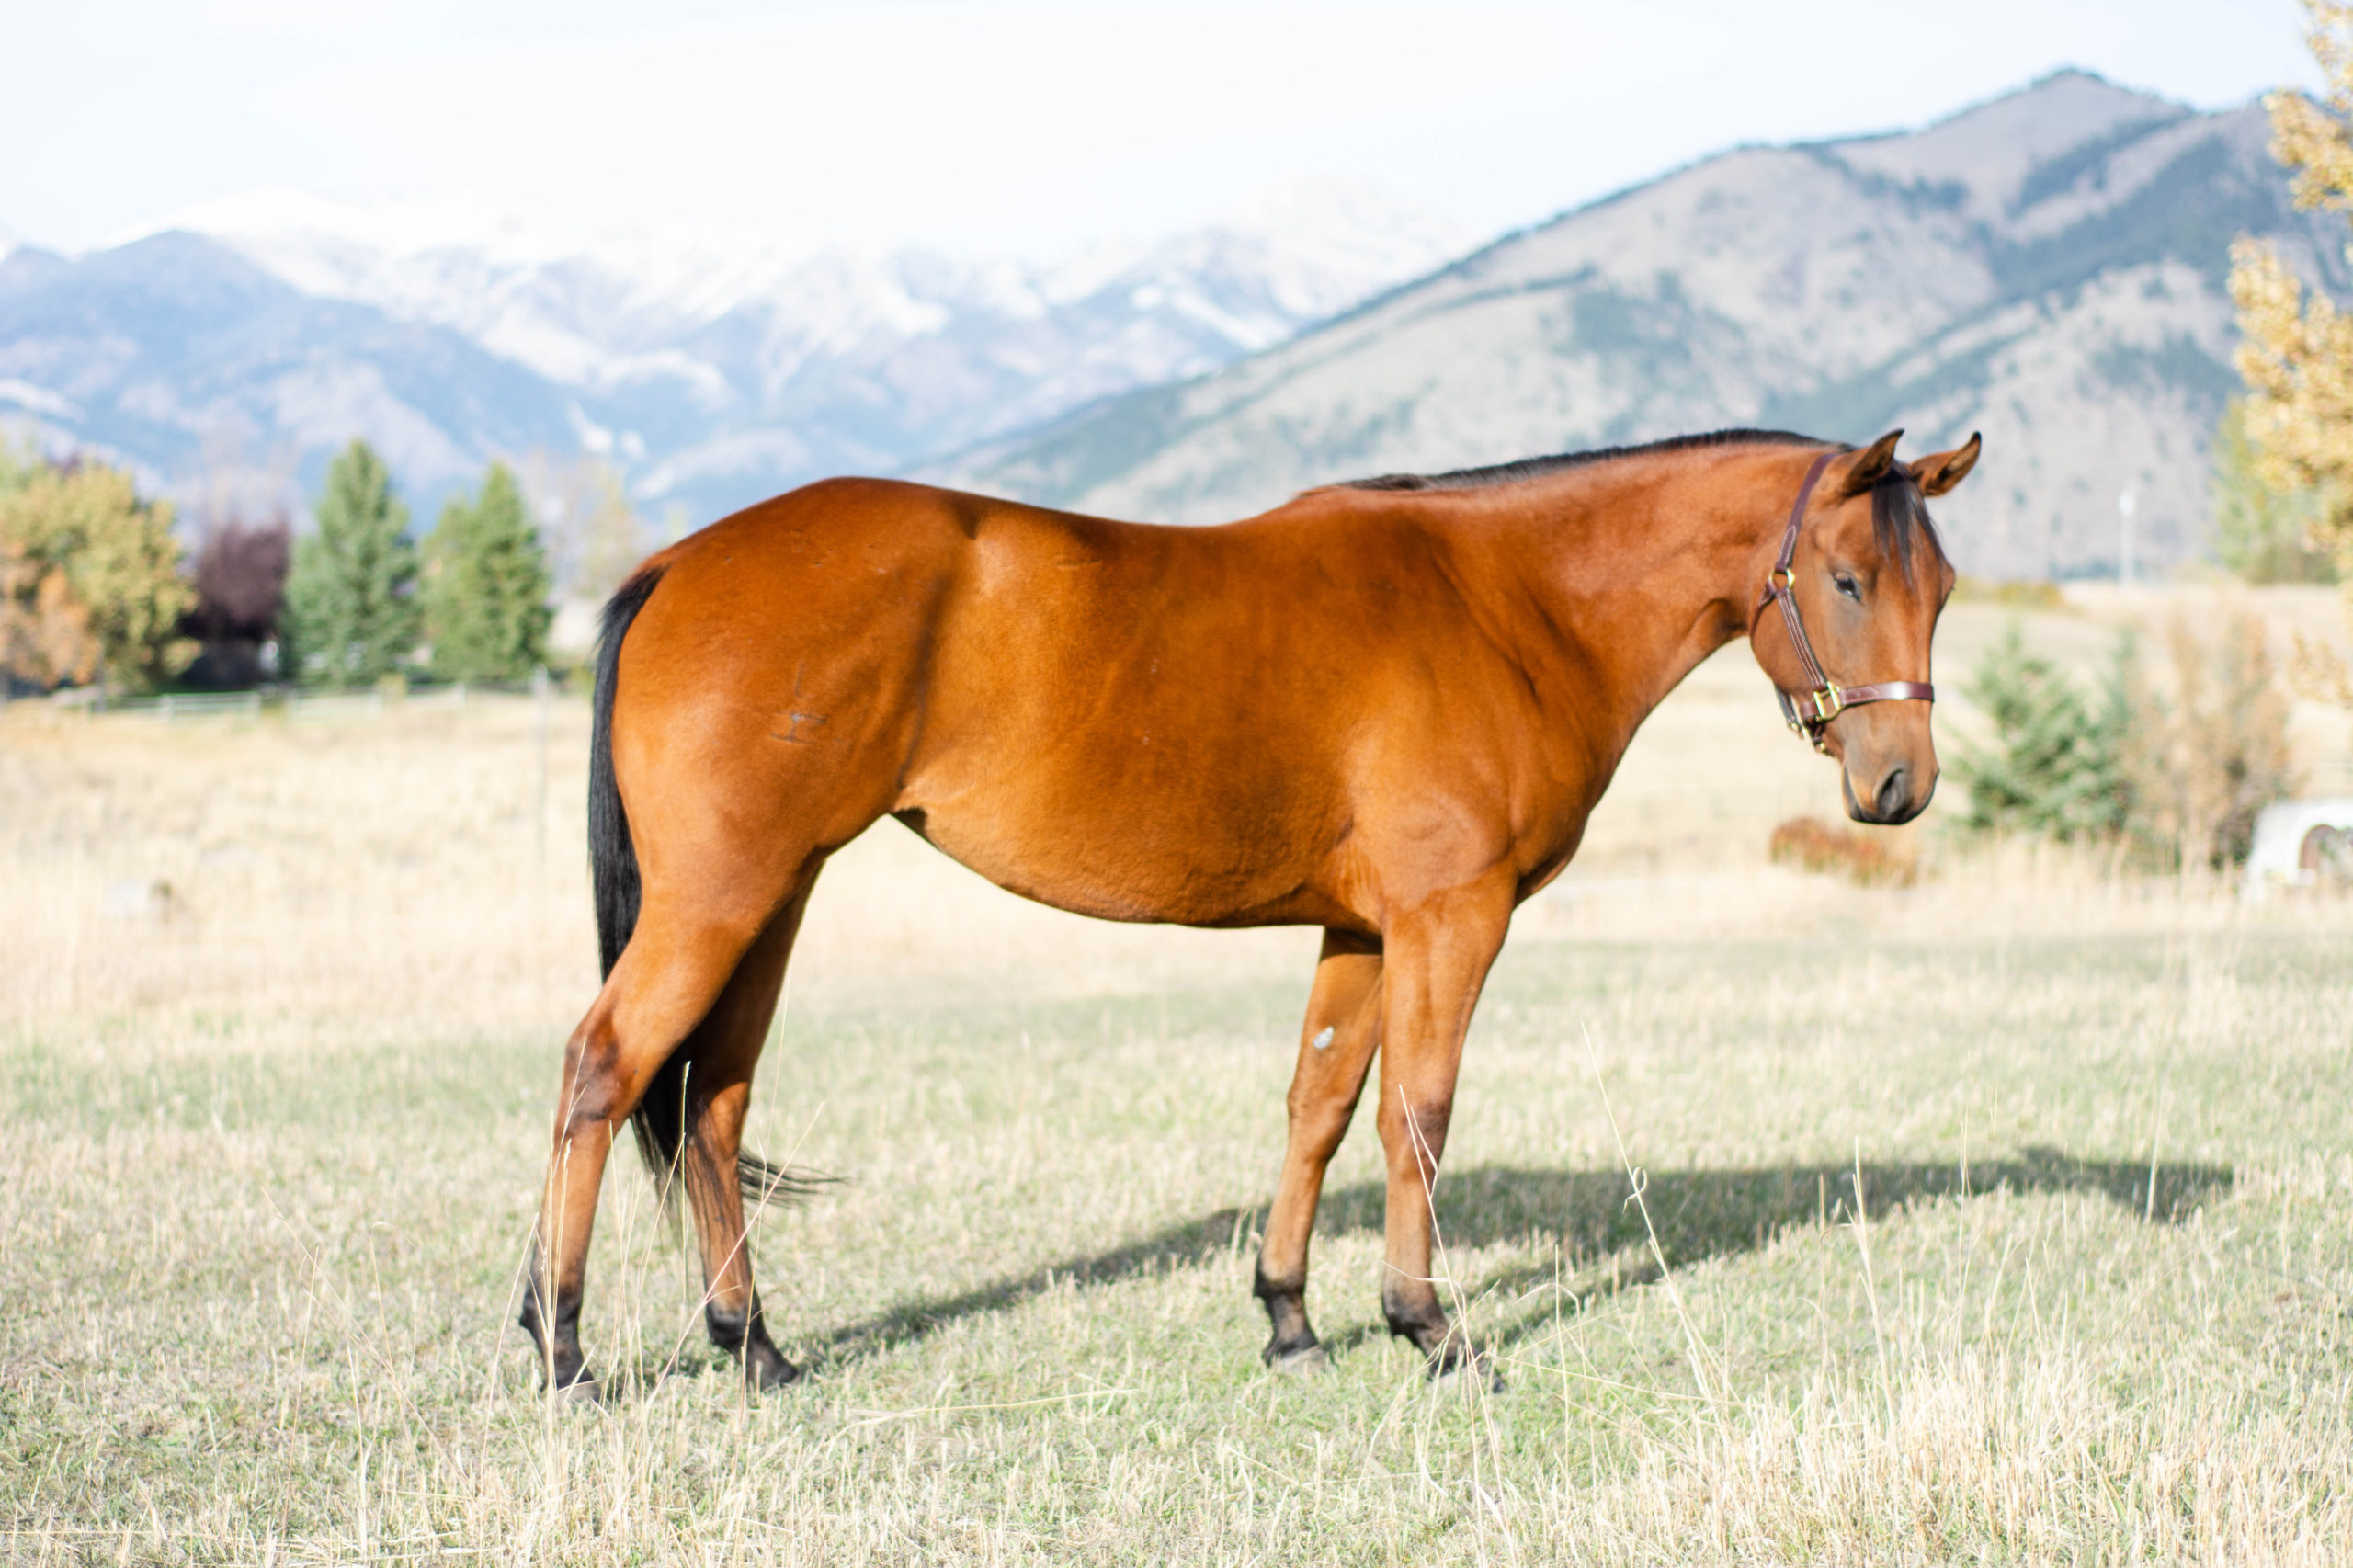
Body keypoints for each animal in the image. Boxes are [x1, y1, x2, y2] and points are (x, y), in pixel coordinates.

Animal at [519, 425, 1979, 1397]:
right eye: (1845, 580)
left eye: (1944, 591)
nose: (1897, 786)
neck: (1506, 601)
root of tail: (679, 561)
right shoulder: (1450, 919)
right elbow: (1417, 1115)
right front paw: (1430, 1327)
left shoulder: (1363, 929)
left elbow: (1320, 1105)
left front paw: (1289, 1317)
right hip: (721, 899)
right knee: (604, 1067)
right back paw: (562, 1342)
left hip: (773, 898)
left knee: (711, 1099)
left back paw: (755, 1346)